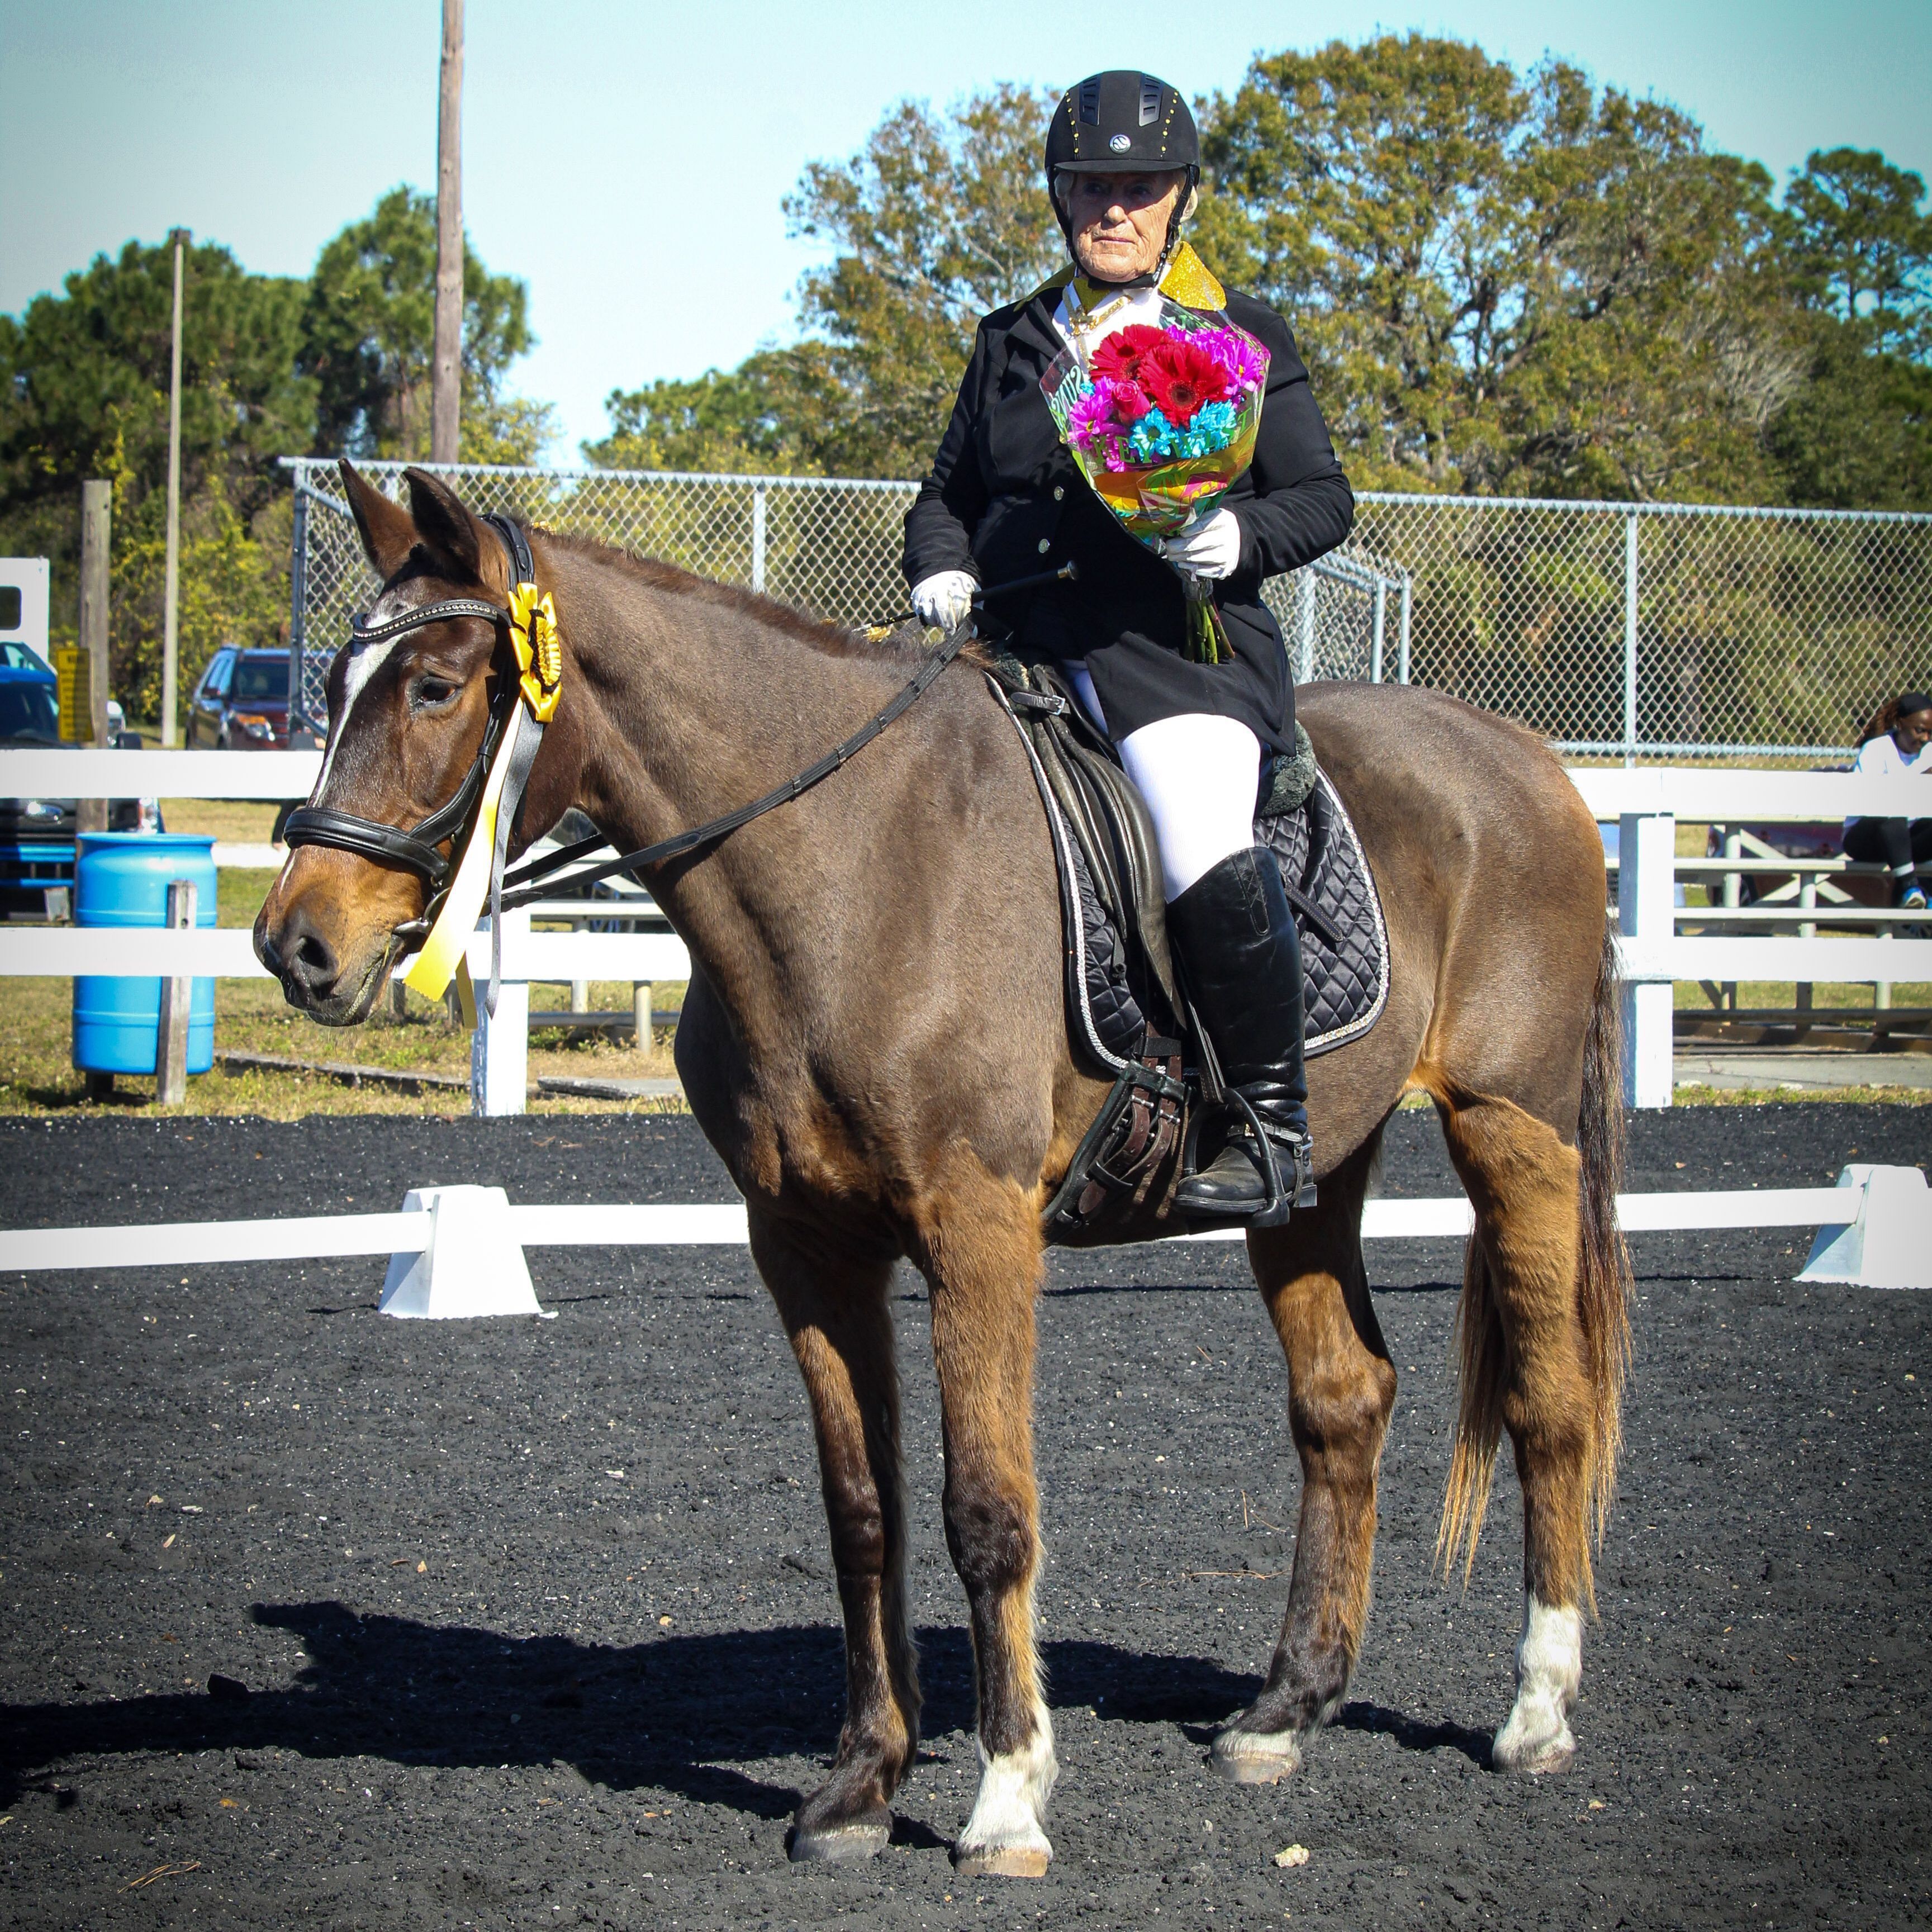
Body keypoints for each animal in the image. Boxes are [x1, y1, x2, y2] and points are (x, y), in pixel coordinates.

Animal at [249, 463, 1622, 1870]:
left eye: (434, 686)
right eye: (331, 688)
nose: (295, 944)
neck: (850, 860)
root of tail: (1522, 755)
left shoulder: (980, 1226)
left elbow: (986, 1508)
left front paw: (1008, 1794)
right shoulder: (804, 1242)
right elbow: (863, 1505)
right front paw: (859, 1785)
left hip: (1511, 1127)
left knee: (1550, 1400)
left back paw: (1536, 1706)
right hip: (1313, 1174)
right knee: (1343, 1398)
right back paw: (1285, 1710)